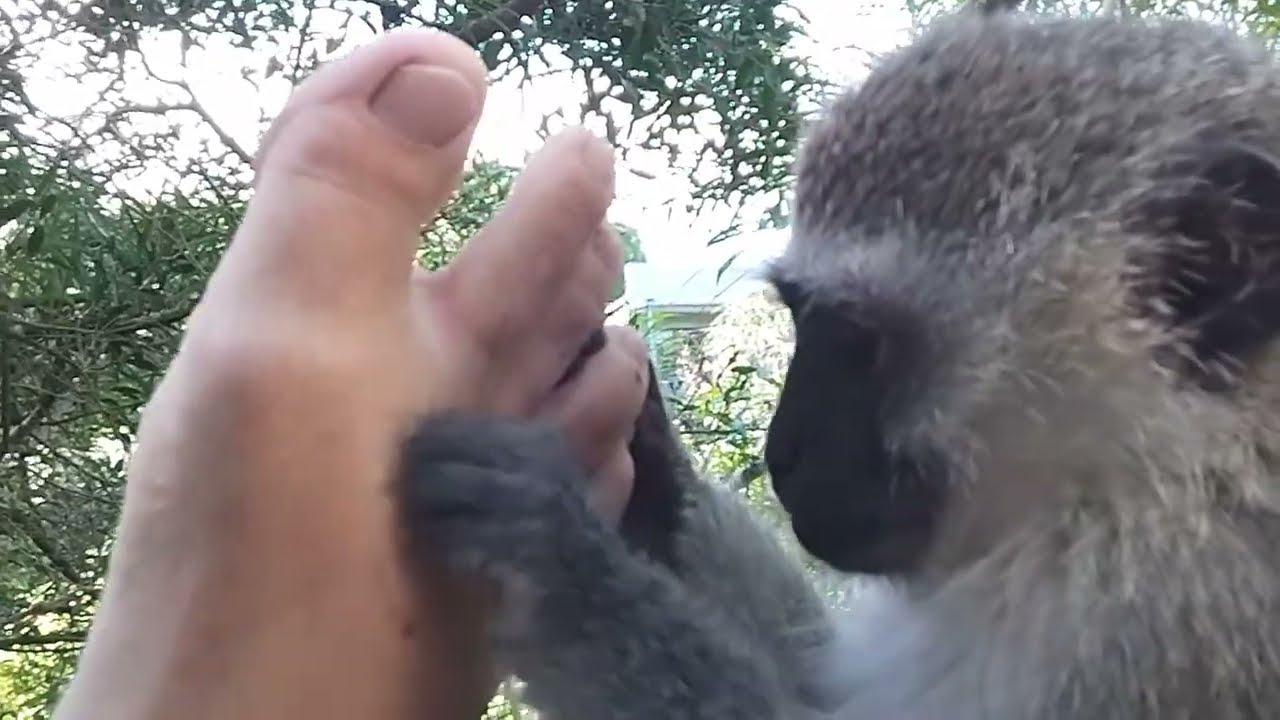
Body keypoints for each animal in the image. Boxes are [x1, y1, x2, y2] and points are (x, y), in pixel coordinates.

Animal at [397, 5, 1280, 719]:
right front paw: (644, 452)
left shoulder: (1156, 621)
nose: (781, 454)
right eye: (804, 321)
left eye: (860, 341)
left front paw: (556, 555)